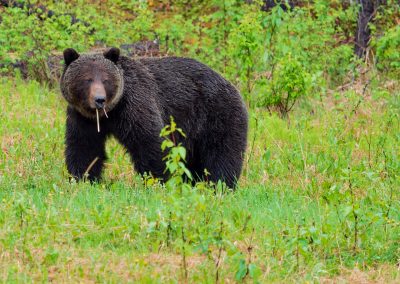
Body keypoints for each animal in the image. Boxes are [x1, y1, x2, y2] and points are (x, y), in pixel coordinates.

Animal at [59, 47, 248, 187]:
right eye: (87, 79)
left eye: (106, 79)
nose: (99, 100)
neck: (111, 112)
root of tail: (232, 86)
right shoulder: (82, 118)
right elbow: (84, 148)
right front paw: (82, 179)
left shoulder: (135, 105)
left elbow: (149, 142)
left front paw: (157, 180)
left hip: (217, 116)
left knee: (222, 155)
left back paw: (221, 185)